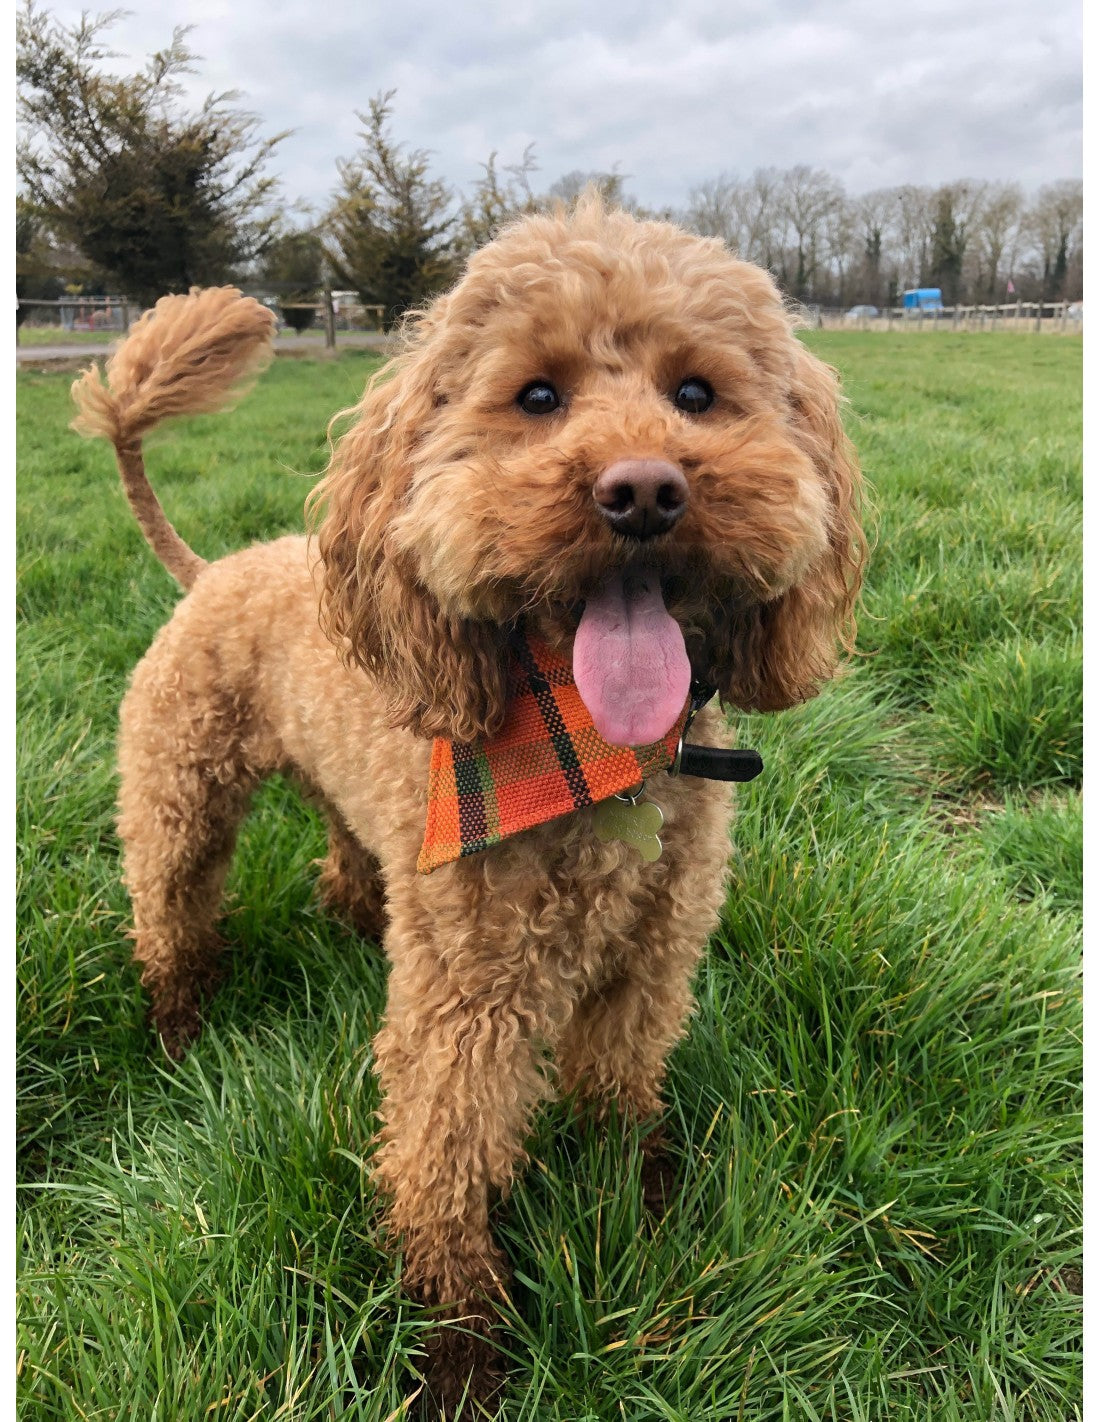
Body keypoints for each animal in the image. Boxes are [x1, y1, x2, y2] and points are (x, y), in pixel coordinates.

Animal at [73, 197, 864, 1410]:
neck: (593, 753)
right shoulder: (467, 1003)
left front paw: (636, 1217)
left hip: (351, 811)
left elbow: (619, 1093)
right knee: (170, 909)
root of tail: (212, 569)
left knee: (343, 867)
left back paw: (351, 921)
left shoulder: (652, 955)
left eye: (696, 394)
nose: (643, 491)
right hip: (180, 789)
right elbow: (445, 1158)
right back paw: (177, 1033)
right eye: (535, 396)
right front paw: (457, 1352)